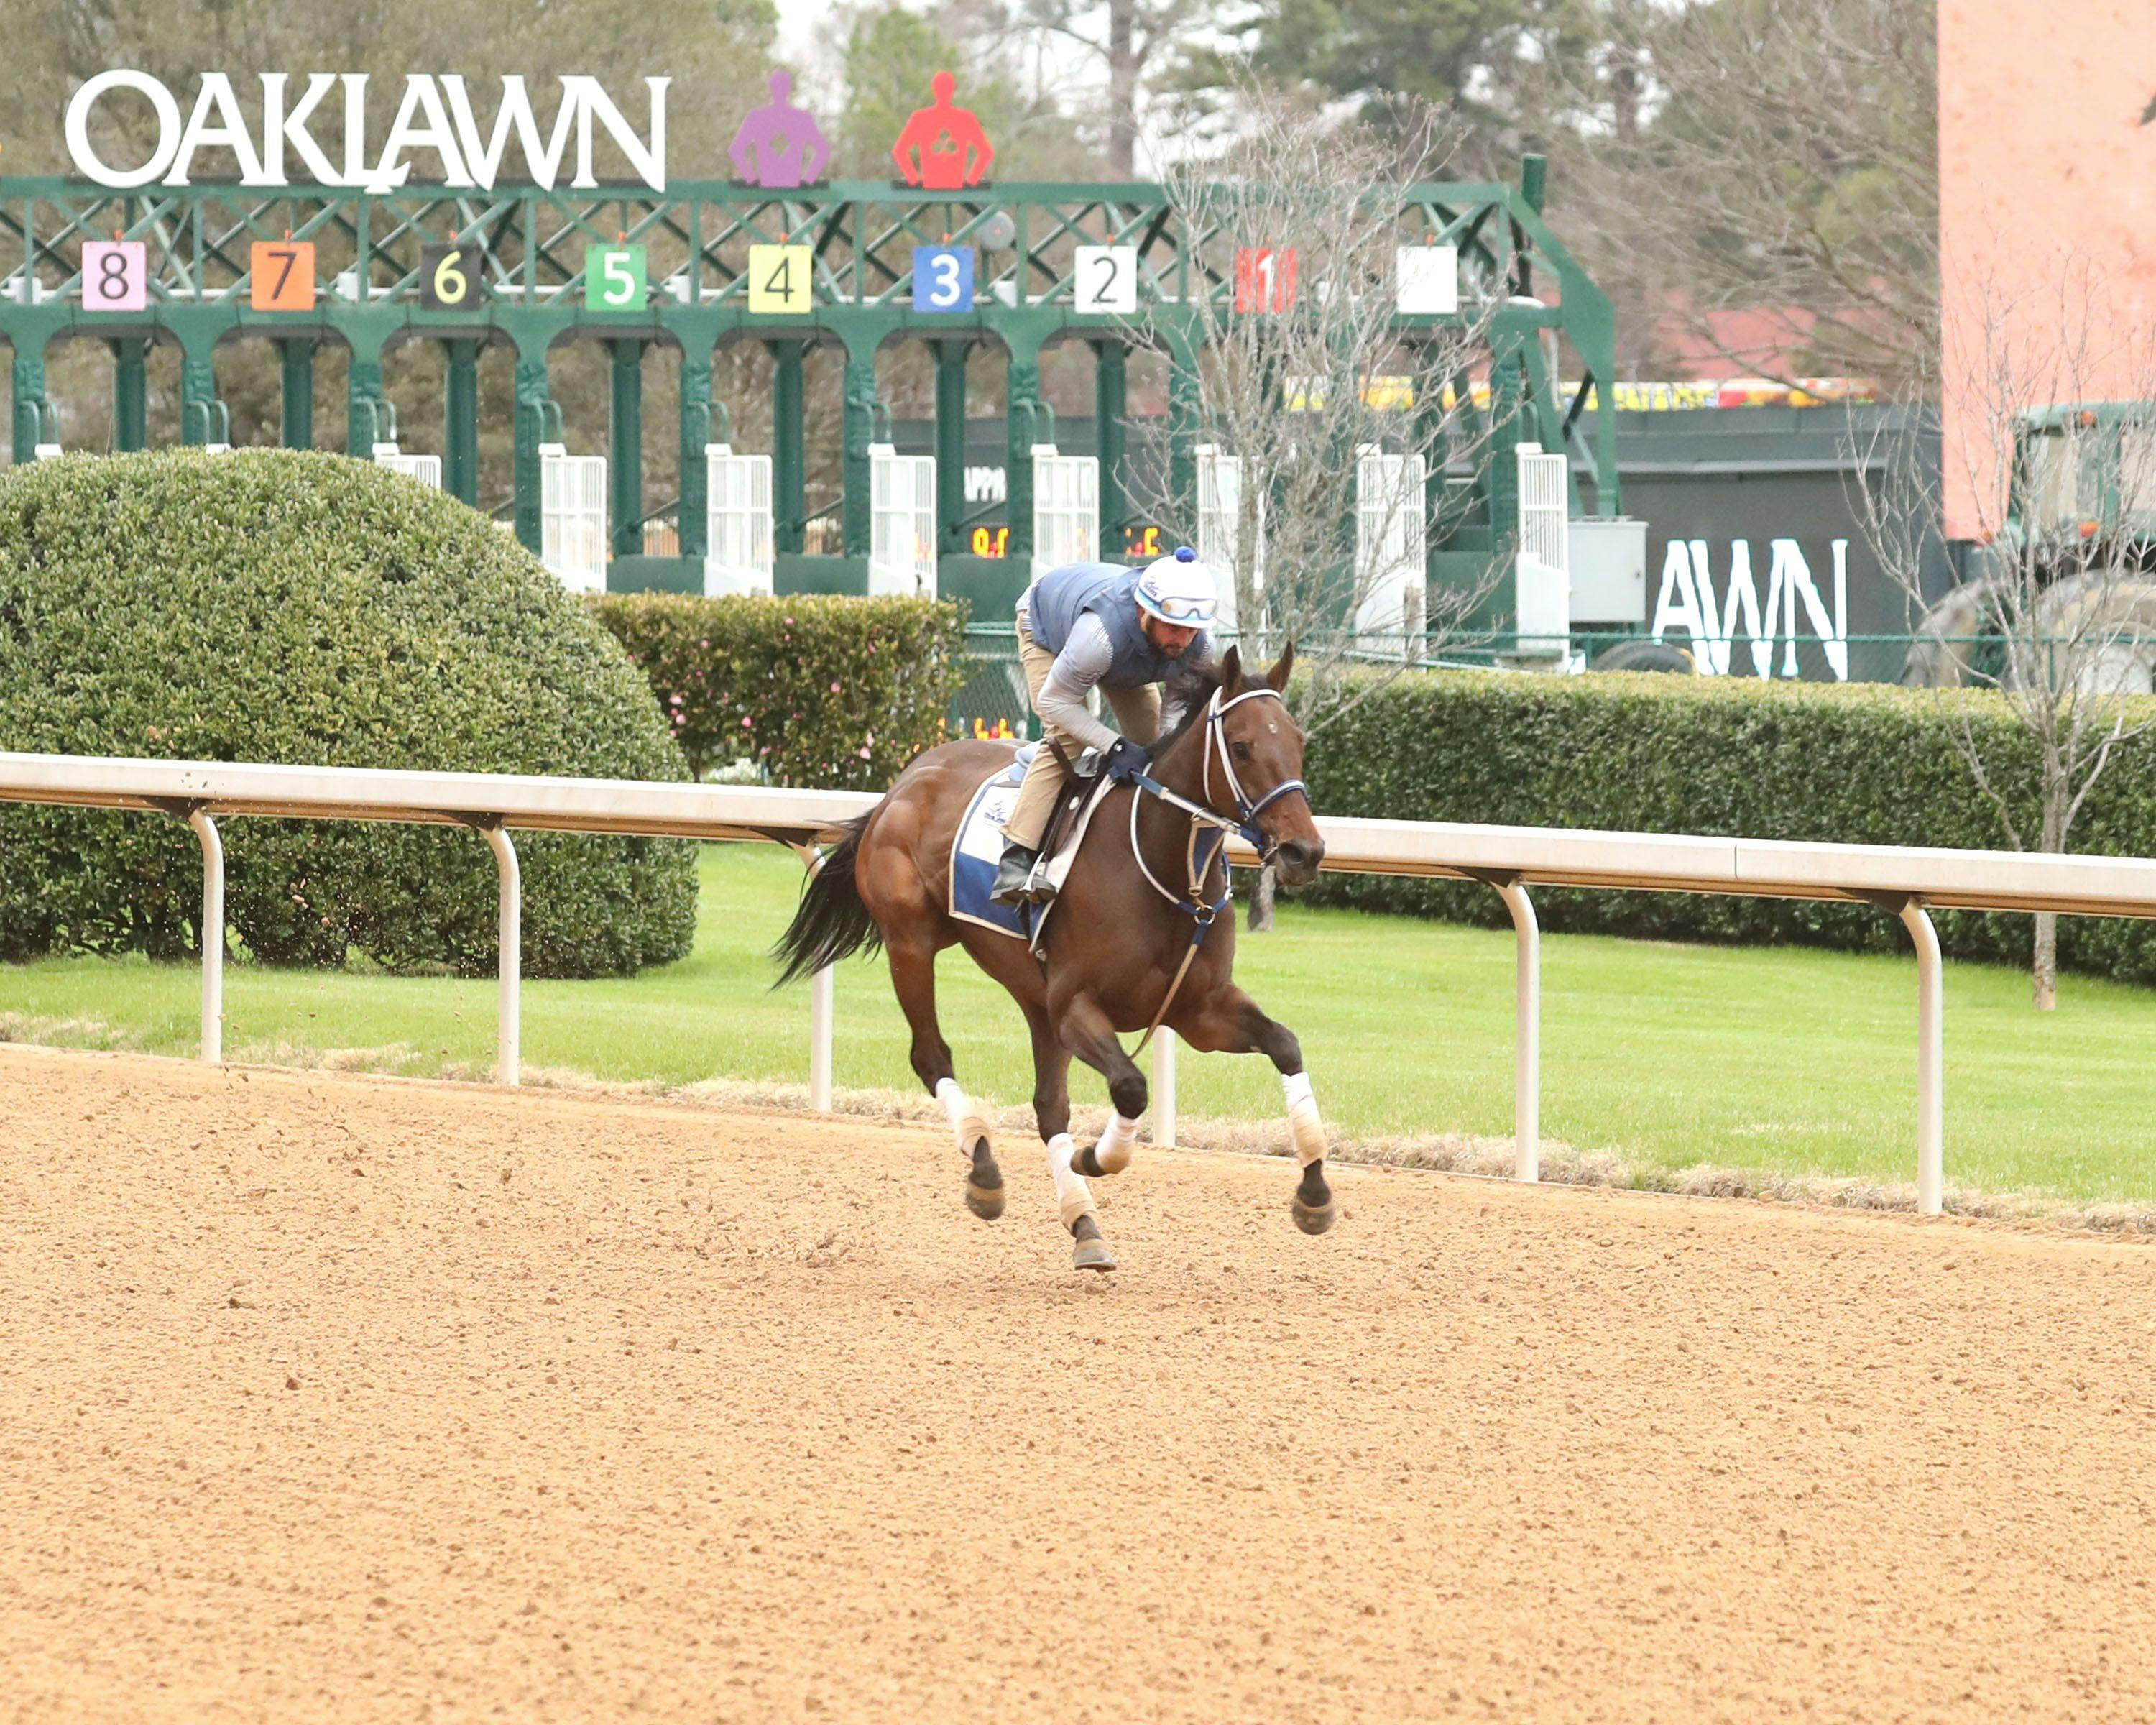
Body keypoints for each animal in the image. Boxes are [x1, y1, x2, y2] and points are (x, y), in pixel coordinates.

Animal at [768, 643, 1319, 1268]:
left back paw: (1084, 1225)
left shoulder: (1198, 1010)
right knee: (932, 1057)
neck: (1164, 866)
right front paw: (1095, 1157)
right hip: (912, 941)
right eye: (1243, 747)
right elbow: (1132, 1086)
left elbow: (1285, 1044)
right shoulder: (1077, 1006)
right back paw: (985, 1170)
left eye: (1299, 740)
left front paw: (1314, 1191)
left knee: (1048, 1104)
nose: (1304, 851)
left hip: (1032, 993)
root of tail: (903, 783)